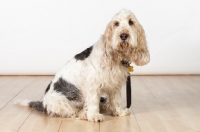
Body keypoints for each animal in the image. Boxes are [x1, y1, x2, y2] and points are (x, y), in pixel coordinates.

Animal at [14, 9, 150, 122]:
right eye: (116, 23)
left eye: (131, 22)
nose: (123, 35)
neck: (116, 56)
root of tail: (43, 103)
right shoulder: (93, 85)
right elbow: (93, 102)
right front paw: (94, 116)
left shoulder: (114, 86)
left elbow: (116, 100)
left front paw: (119, 112)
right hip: (61, 103)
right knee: (72, 113)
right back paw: (84, 114)